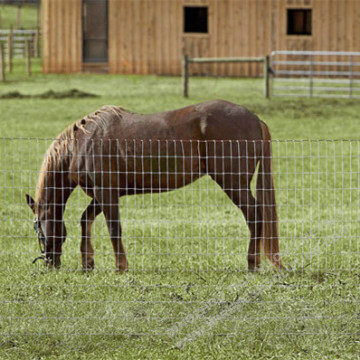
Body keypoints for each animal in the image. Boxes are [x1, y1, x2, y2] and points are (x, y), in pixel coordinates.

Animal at [26, 100, 284, 272]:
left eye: (37, 225)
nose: (50, 263)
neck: (82, 143)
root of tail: (255, 119)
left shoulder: (106, 192)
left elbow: (114, 228)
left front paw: (121, 267)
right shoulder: (103, 194)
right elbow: (85, 220)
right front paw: (88, 263)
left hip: (233, 182)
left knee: (255, 215)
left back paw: (252, 263)